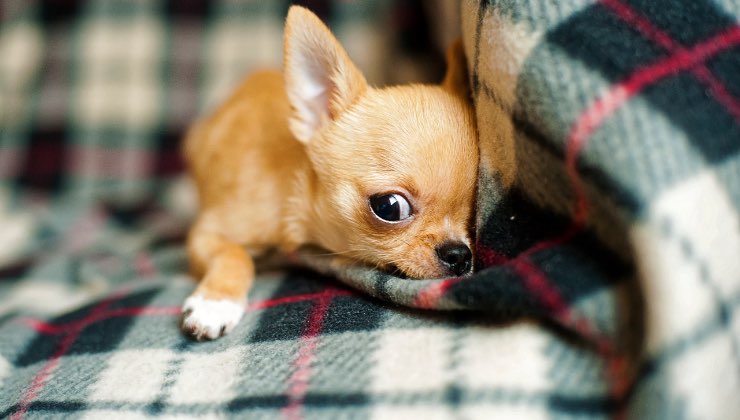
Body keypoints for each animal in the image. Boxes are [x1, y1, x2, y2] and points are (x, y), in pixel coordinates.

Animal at [182, 6, 476, 340]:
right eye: (389, 207)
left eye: (474, 207)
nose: (459, 254)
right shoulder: (205, 234)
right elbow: (235, 253)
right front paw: (216, 303)